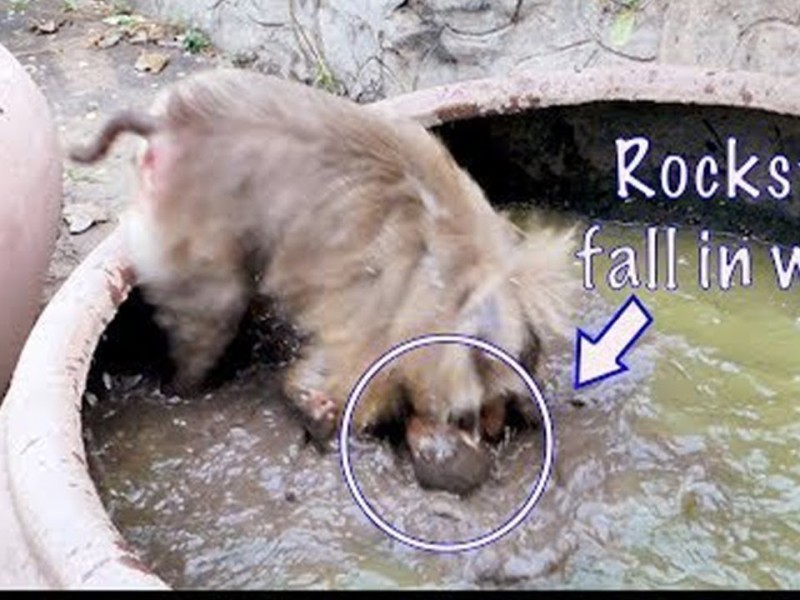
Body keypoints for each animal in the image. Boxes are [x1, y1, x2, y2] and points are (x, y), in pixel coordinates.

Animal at [70, 69, 576, 495]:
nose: (489, 430)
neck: (468, 282)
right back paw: (184, 387)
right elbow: (357, 382)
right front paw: (324, 415)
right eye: (467, 416)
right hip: (192, 223)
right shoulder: (389, 327)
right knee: (211, 308)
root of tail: (169, 125)